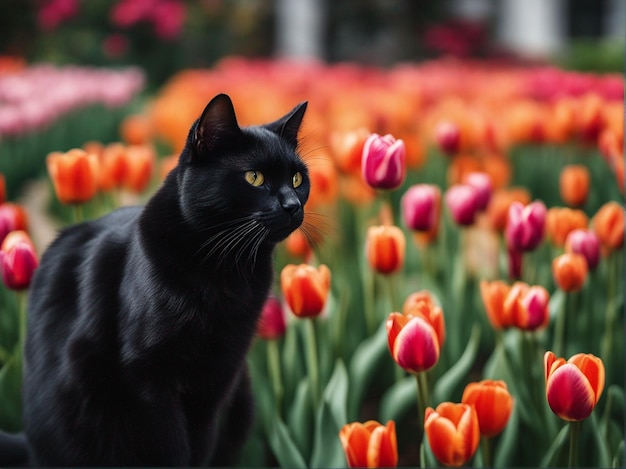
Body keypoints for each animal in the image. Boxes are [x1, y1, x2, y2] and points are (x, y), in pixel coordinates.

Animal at [0, 94, 310, 464]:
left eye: (297, 179)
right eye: (254, 177)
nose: (292, 205)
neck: (222, 271)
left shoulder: (216, 380)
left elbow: (199, 447)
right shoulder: (148, 378)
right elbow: (168, 448)